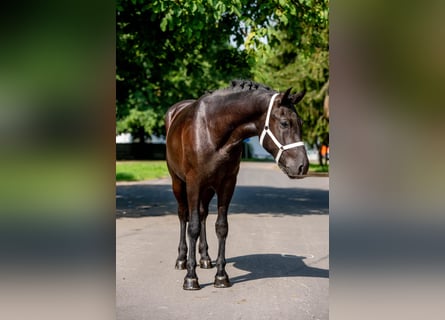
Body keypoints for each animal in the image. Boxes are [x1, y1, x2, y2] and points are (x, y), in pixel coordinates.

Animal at [165, 80, 306, 290]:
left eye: (302, 123)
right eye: (284, 123)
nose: (303, 166)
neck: (212, 129)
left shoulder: (227, 184)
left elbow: (221, 227)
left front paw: (221, 276)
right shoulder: (193, 183)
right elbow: (193, 227)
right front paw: (191, 277)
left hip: (208, 189)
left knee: (203, 214)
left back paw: (205, 258)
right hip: (178, 182)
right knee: (183, 215)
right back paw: (181, 260)